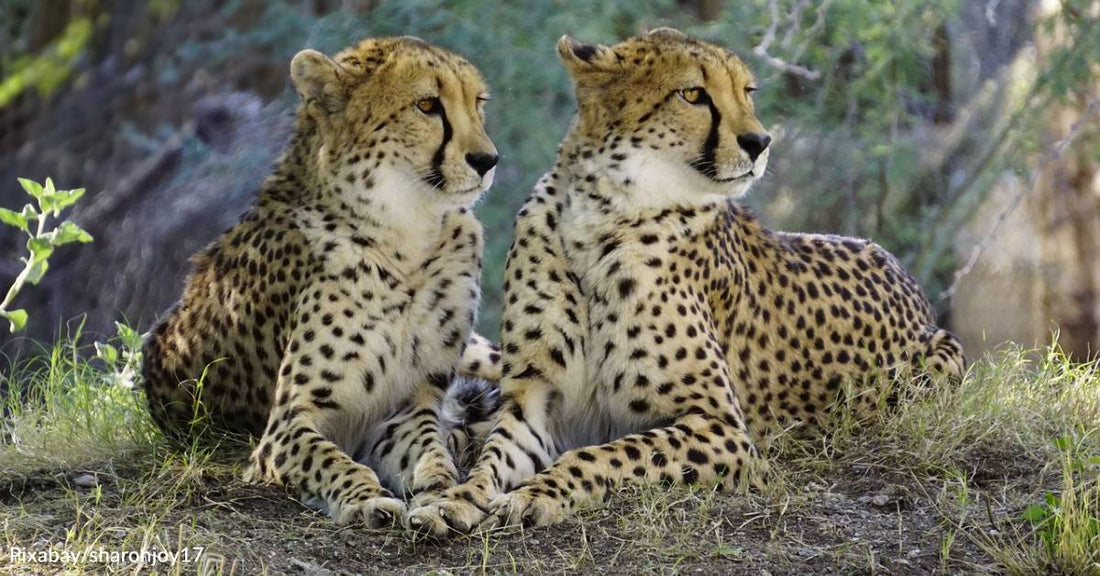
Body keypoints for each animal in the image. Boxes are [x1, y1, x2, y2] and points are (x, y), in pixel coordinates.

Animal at [141, 36, 504, 527]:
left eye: (477, 102)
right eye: (427, 104)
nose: (487, 160)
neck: (407, 235)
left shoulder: (406, 409)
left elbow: (432, 455)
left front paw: (443, 493)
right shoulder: (286, 427)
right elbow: (331, 460)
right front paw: (366, 499)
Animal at [408, 28, 965, 535]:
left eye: (747, 91)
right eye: (693, 94)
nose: (760, 142)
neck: (601, 213)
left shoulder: (723, 427)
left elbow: (605, 453)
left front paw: (538, 494)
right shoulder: (534, 397)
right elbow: (494, 457)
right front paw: (454, 499)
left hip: (935, 364)